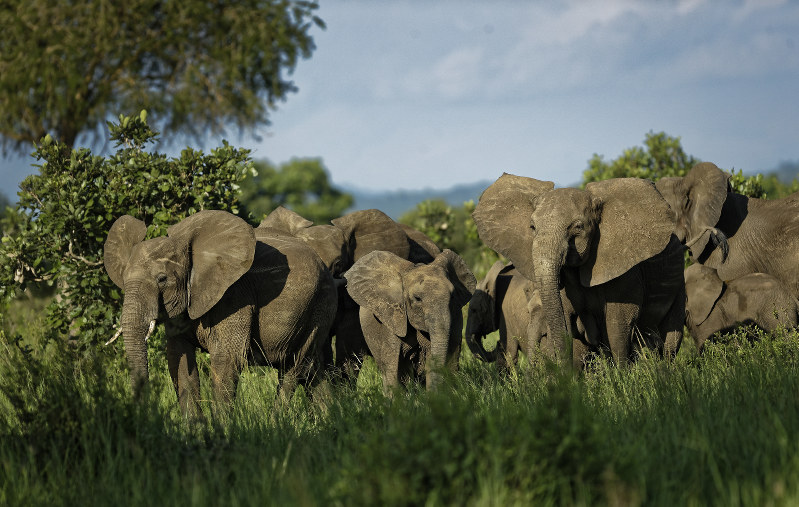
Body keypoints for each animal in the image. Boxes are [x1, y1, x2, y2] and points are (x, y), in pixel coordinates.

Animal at [104, 210, 337, 418]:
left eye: (162, 279)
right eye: (123, 279)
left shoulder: (236, 295)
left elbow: (227, 359)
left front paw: (223, 430)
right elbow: (179, 358)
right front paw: (195, 432)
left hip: (320, 304)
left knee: (294, 367)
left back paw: (277, 422)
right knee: (314, 371)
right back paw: (331, 420)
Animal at [473, 173, 686, 366]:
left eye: (578, 227)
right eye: (532, 227)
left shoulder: (627, 272)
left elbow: (618, 325)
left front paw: (622, 376)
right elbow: (568, 322)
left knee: (670, 341)